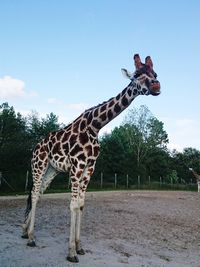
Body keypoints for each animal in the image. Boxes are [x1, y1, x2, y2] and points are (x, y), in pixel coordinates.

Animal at [21, 55, 161, 262]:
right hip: (39, 164)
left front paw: (80, 247)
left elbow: (81, 204)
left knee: (36, 194)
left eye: (155, 74)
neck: (96, 126)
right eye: (136, 75)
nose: (156, 86)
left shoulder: (90, 167)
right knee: (34, 193)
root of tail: (36, 146)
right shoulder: (77, 165)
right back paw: (31, 237)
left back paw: (25, 231)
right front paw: (71, 252)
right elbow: (72, 205)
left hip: (52, 169)